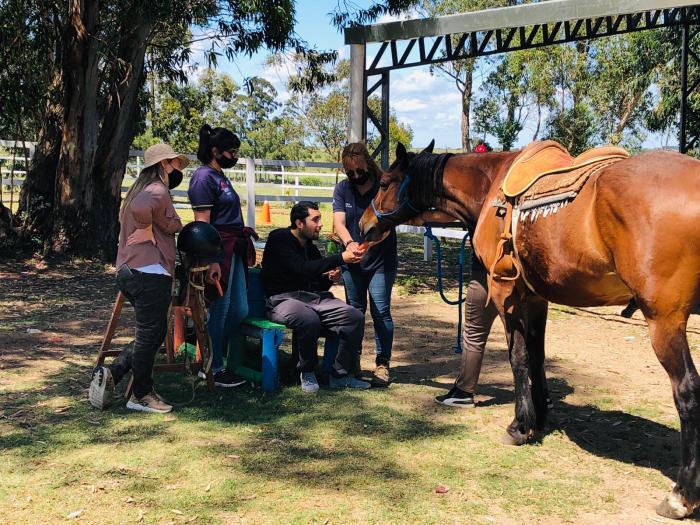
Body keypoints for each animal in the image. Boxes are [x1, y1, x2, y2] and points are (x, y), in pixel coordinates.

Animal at [360, 140, 700, 520]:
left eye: (385, 182)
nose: (364, 225)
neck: (491, 185)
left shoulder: (505, 292)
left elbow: (518, 357)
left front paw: (520, 426)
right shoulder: (537, 296)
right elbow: (537, 357)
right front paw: (541, 415)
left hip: (664, 322)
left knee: (687, 392)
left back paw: (682, 495)